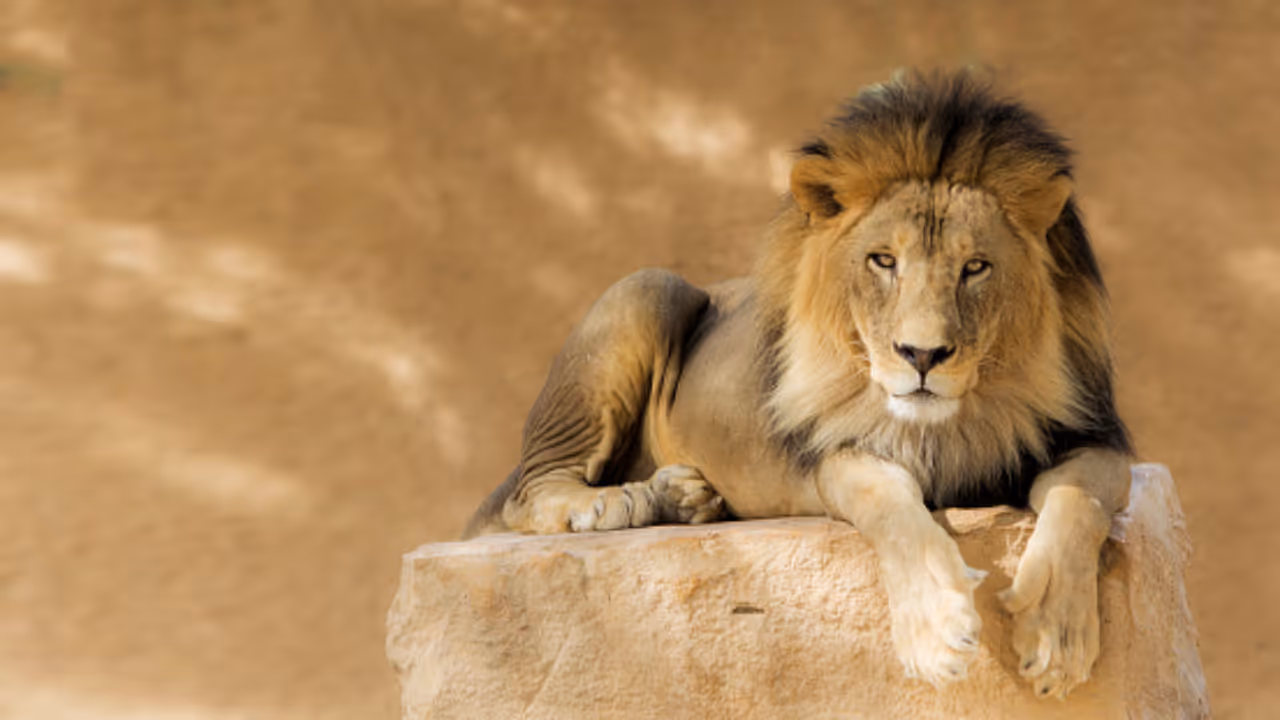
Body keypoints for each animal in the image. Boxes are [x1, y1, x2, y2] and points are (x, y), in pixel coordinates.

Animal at [464, 71, 1132, 700]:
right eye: (883, 261)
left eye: (975, 268)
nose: (922, 355)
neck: (953, 422)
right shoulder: (828, 458)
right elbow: (888, 498)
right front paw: (935, 630)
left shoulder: (1097, 439)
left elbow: (1080, 499)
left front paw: (1055, 636)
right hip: (648, 287)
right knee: (530, 494)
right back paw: (610, 503)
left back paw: (683, 498)